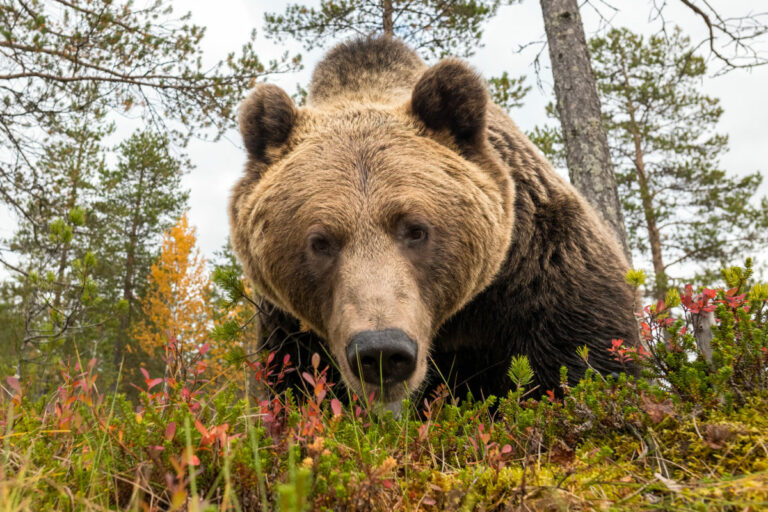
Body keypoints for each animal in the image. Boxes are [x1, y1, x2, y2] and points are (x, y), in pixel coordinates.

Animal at [228, 36, 636, 410]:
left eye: (415, 229)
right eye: (320, 241)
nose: (381, 351)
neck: (455, 322)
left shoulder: (539, 270)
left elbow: (584, 360)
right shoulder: (289, 330)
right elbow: (297, 388)